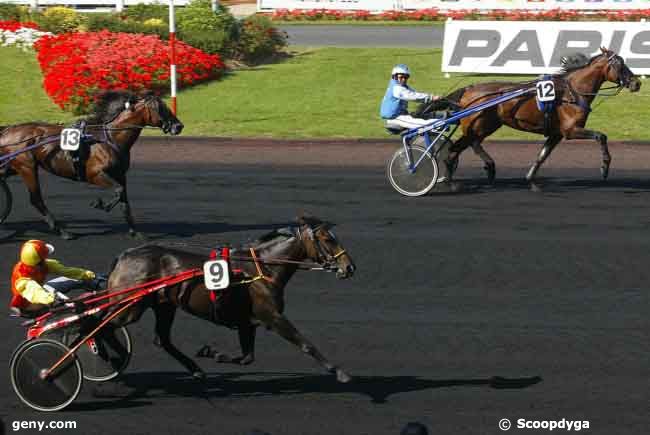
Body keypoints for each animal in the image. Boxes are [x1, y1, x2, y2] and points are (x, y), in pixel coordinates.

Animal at [0, 91, 182, 238]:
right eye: (161, 108)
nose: (179, 126)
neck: (109, 139)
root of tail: (8, 130)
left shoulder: (120, 175)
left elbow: (124, 200)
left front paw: (135, 232)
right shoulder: (94, 174)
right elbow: (118, 191)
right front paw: (101, 204)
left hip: (15, 167)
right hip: (27, 166)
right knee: (36, 199)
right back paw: (63, 231)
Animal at [107, 216, 360, 384]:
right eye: (327, 239)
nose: (349, 267)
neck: (263, 267)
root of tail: (124, 256)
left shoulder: (247, 322)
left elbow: (247, 357)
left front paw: (212, 353)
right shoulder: (272, 316)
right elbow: (306, 344)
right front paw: (339, 372)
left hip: (164, 305)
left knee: (162, 339)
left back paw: (194, 368)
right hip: (130, 305)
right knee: (106, 326)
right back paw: (115, 359)